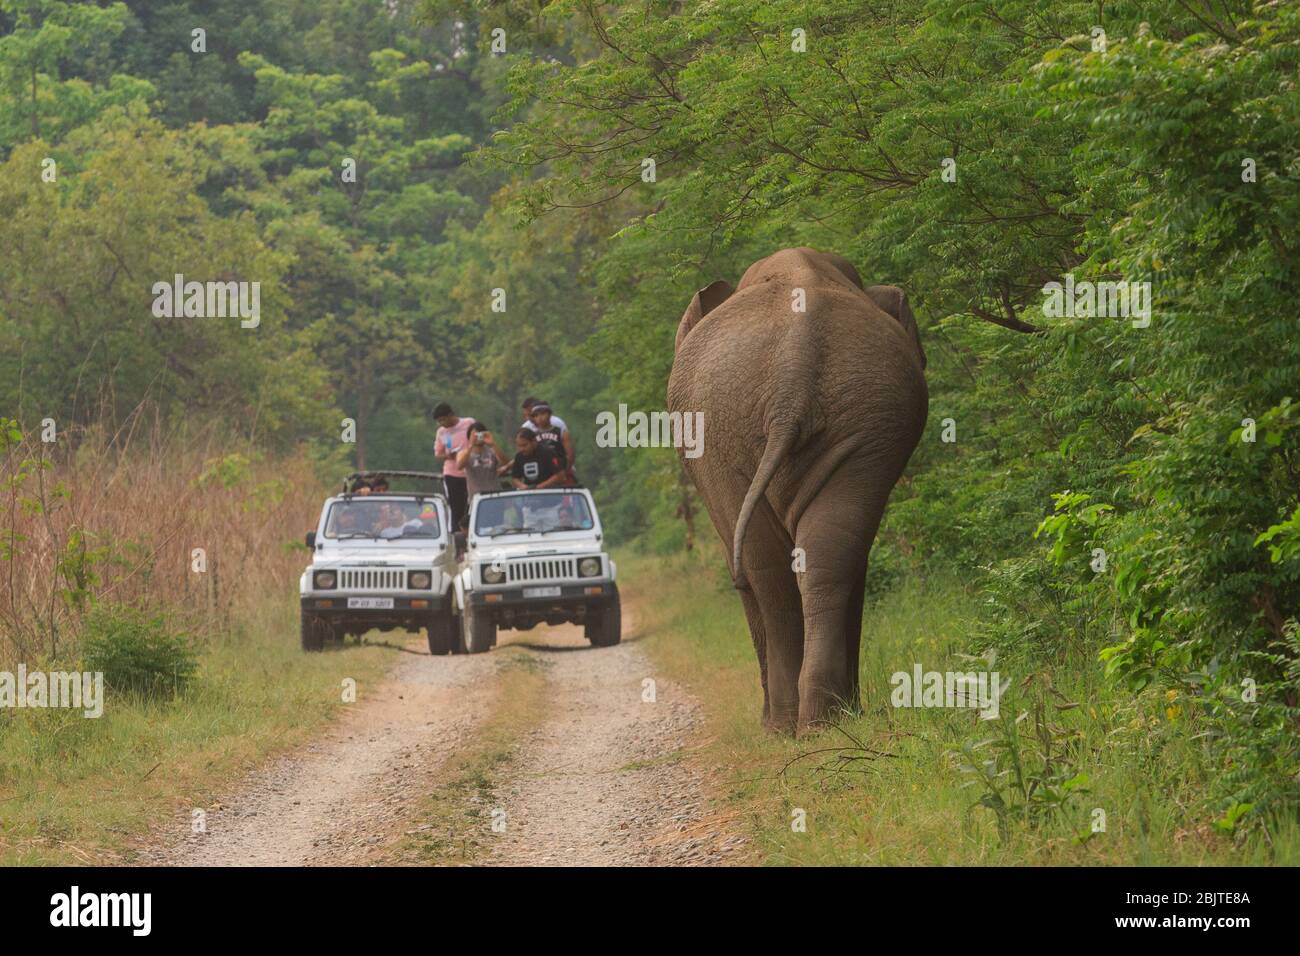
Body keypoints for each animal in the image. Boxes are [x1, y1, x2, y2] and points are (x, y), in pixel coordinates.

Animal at [665, 247, 930, 733]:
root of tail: (795, 365)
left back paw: (787, 725)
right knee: (828, 554)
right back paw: (823, 719)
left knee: (766, 567)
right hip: (861, 422)